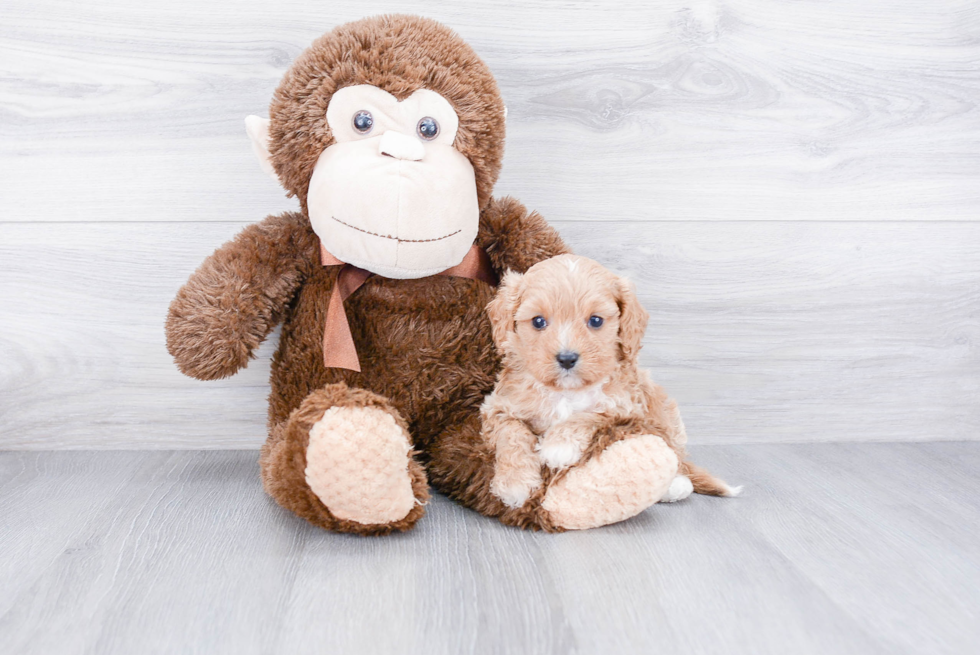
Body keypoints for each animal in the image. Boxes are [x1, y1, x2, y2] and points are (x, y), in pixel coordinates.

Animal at [478, 254, 740, 510]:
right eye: (538, 322)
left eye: (595, 321)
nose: (567, 358)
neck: (566, 391)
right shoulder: (499, 406)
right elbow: (512, 434)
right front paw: (515, 482)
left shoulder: (625, 406)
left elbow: (590, 415)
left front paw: (558, 445)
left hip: (665, 414)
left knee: (674, 452)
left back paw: (675, 484)